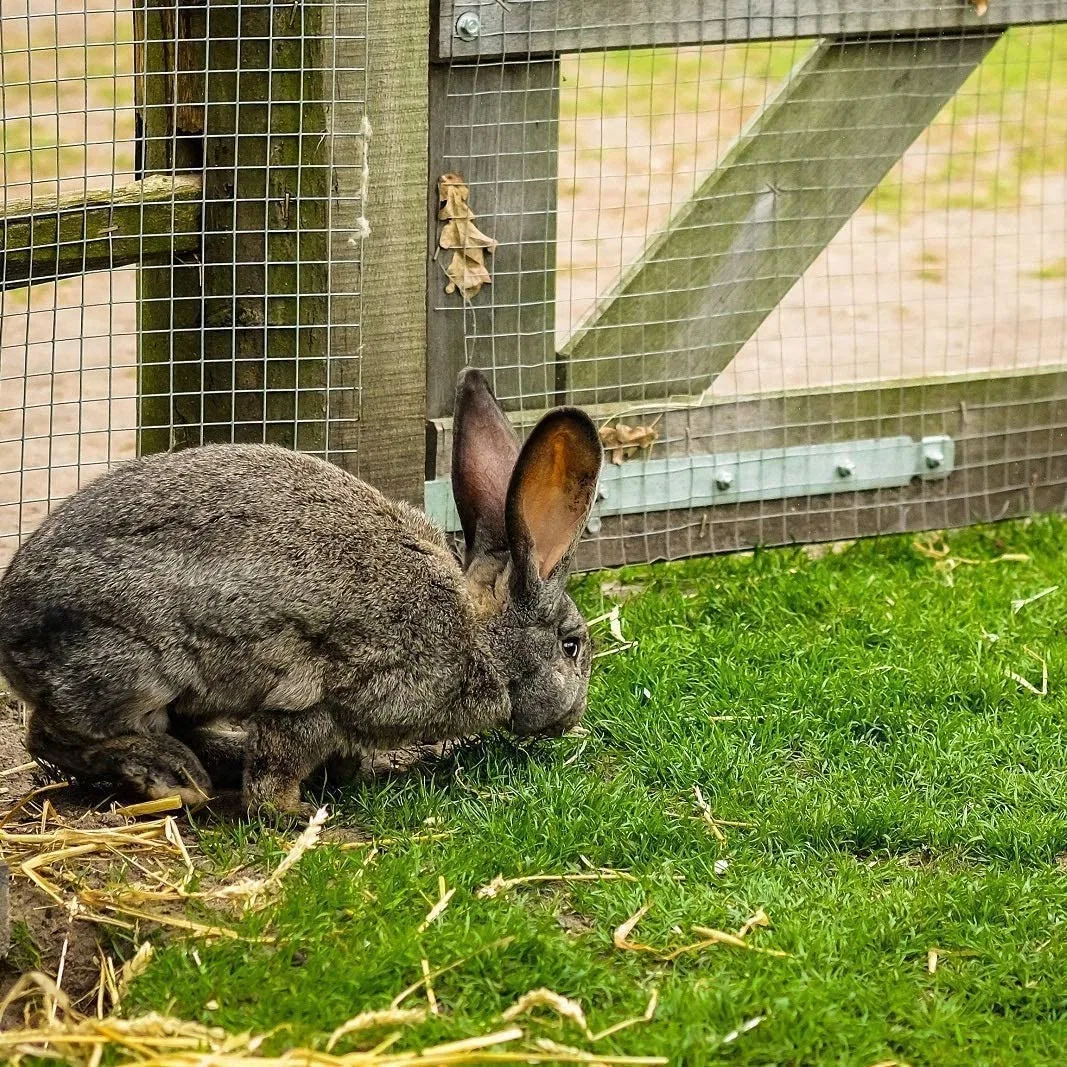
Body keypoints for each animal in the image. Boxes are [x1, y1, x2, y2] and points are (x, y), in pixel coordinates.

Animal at [0, 371, 601, 810]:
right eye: (571, 646)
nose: (573, 717)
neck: (478, 632)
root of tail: (10, 624)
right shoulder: (324, 698)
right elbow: (278, 765)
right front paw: (292, 811)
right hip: (131, 671)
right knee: (50, 737)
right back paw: (173, 776)